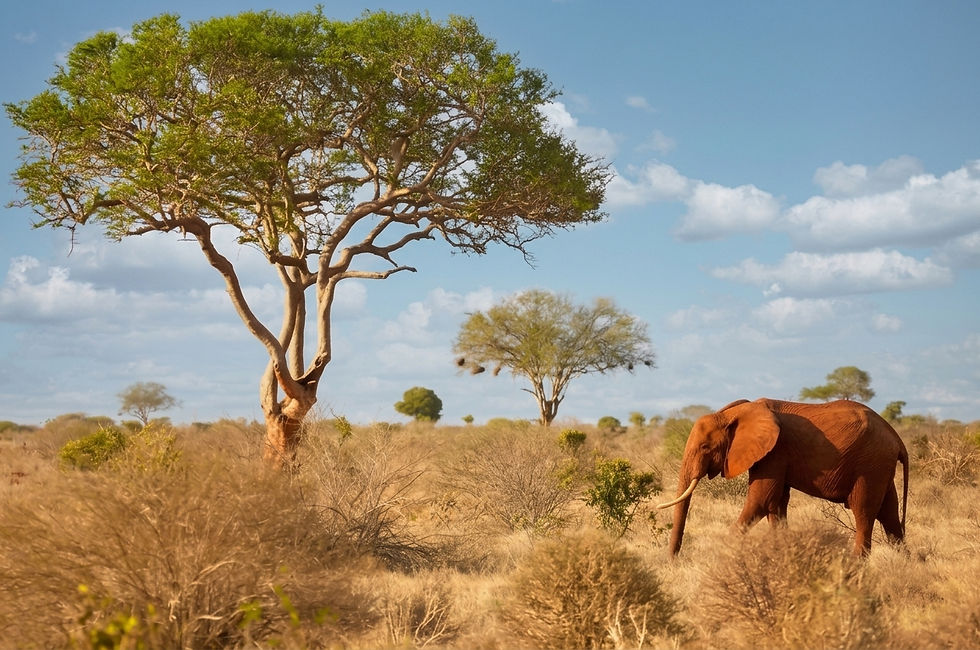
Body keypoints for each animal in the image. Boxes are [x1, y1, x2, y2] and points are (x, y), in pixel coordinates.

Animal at [658, 398, 908, 556]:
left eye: (705, 447)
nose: (673, 560)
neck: (733, 414)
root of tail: (896, 437)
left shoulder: (774, 452)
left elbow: (760, 502)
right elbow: (775, 505)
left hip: (870, 464)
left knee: (863, 512)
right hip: (880, 466)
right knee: (890, 515)